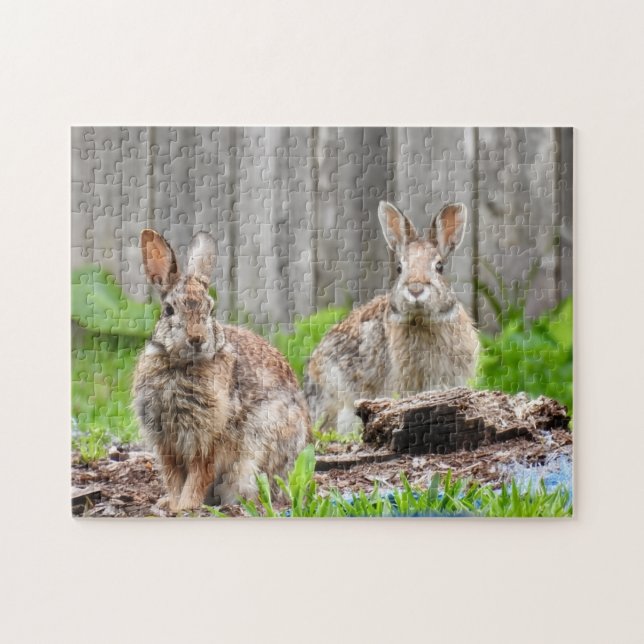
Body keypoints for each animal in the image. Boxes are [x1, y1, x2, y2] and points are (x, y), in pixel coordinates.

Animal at [132, 229, 310, 512]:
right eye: (169, 310)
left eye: (211, 310)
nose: (197, 339)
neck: (181, 365)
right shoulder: (166, 442)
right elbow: (173, 477)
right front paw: (173, 504)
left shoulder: (208, 439)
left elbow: (198, 475)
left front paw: (185, 506)